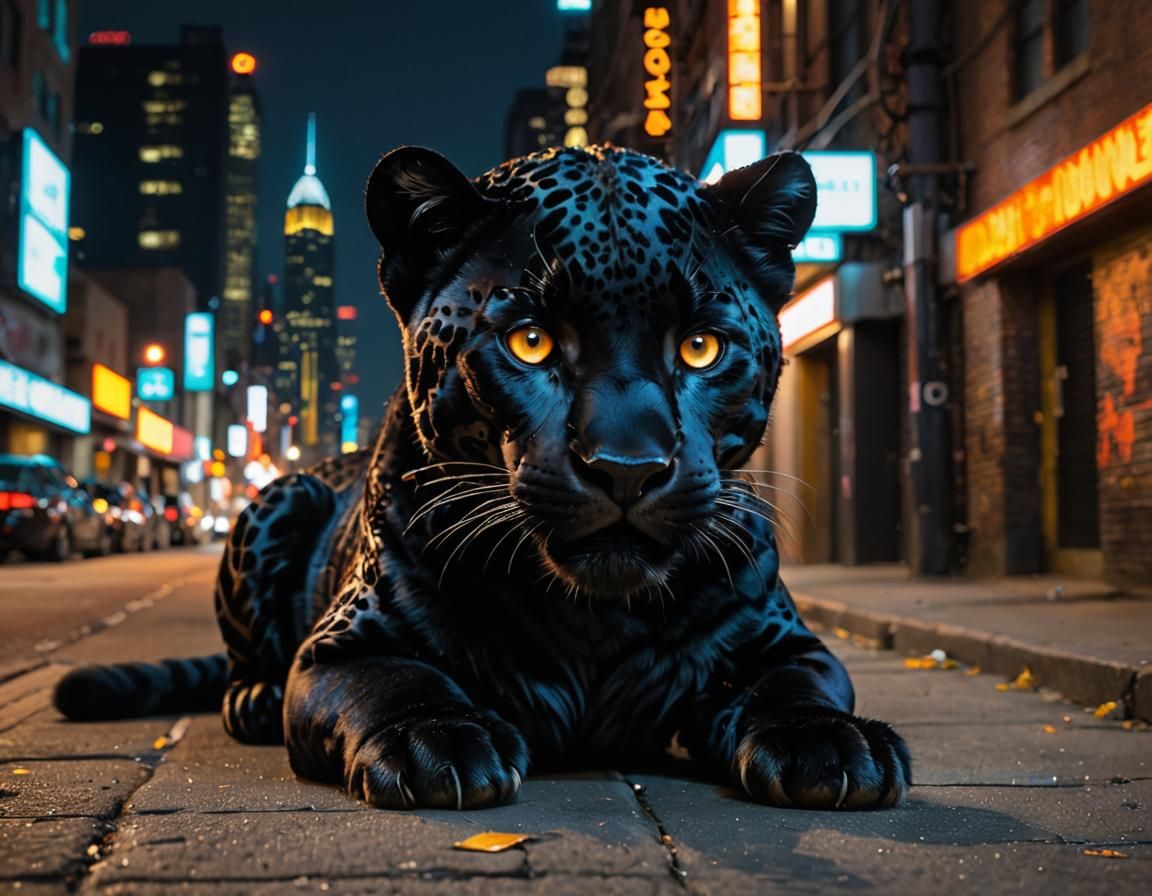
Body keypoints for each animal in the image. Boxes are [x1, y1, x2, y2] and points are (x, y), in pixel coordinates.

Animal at [55, 144, 911, 812]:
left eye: (701, 347)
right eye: (530, 341)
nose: (626, 469)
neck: (594, 620)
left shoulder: (791, 645)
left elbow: (796, 687)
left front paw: (829, 745)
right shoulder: (345, 646)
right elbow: (398, 681)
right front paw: (435, 740)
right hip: (282, 496)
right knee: (247, 660)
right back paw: (256, 699)